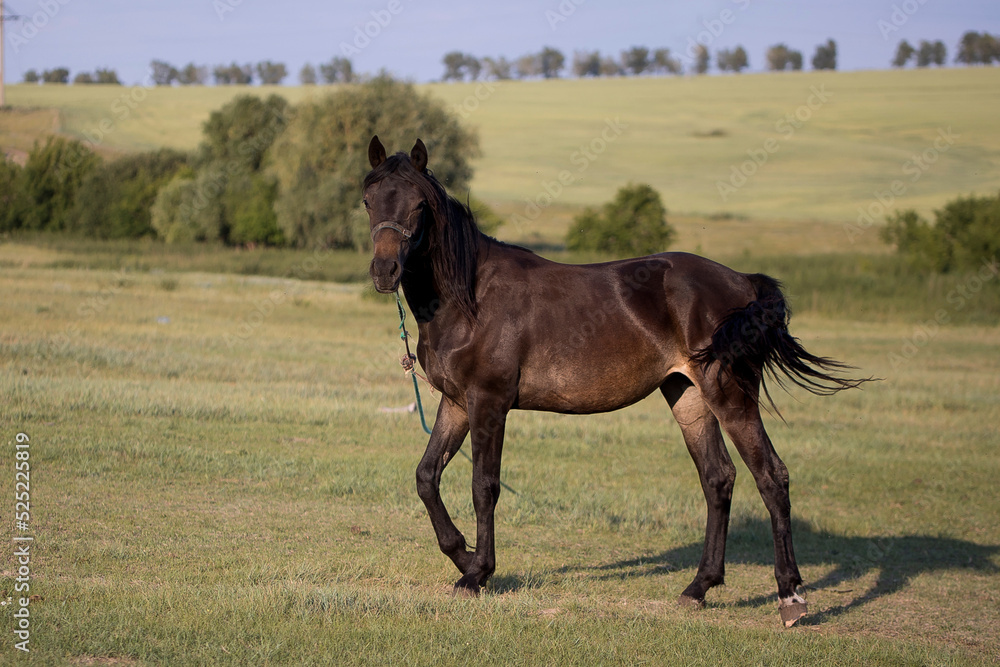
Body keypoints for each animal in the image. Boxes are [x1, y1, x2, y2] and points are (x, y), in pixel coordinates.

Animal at [364, 136, 866, 627]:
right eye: (369, 201)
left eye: (419, 205)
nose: (384, 272)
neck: (470, 297)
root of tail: (743, 282)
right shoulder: (455, 403)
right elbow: (426, 477)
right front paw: (463, 556)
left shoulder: (489, 402)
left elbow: (483, 486)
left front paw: (478, 573)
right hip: (688, 396)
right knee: (718, 479)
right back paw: (698, 588)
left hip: (730, 396)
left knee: (771, 477)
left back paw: (791, 597)